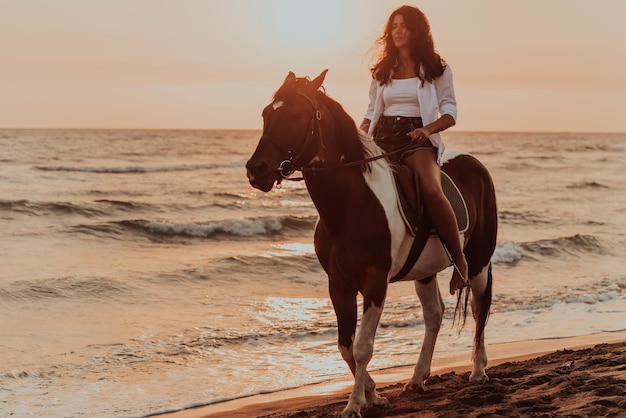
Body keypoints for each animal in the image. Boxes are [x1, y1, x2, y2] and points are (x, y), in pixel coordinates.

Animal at [246, 71, 494, 418]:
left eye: (297, 115)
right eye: (267, 114)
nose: (257, 170)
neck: (352, 204)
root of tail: (476, 166)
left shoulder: (375, 282)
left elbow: (363, 346)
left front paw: (354, 405)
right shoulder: (339, 284)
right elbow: (345, 346)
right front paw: (373, 394)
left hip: (479, 261)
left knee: (479, 306)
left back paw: (478, 370)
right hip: (425, 271)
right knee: (434, 315)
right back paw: (417, 379)